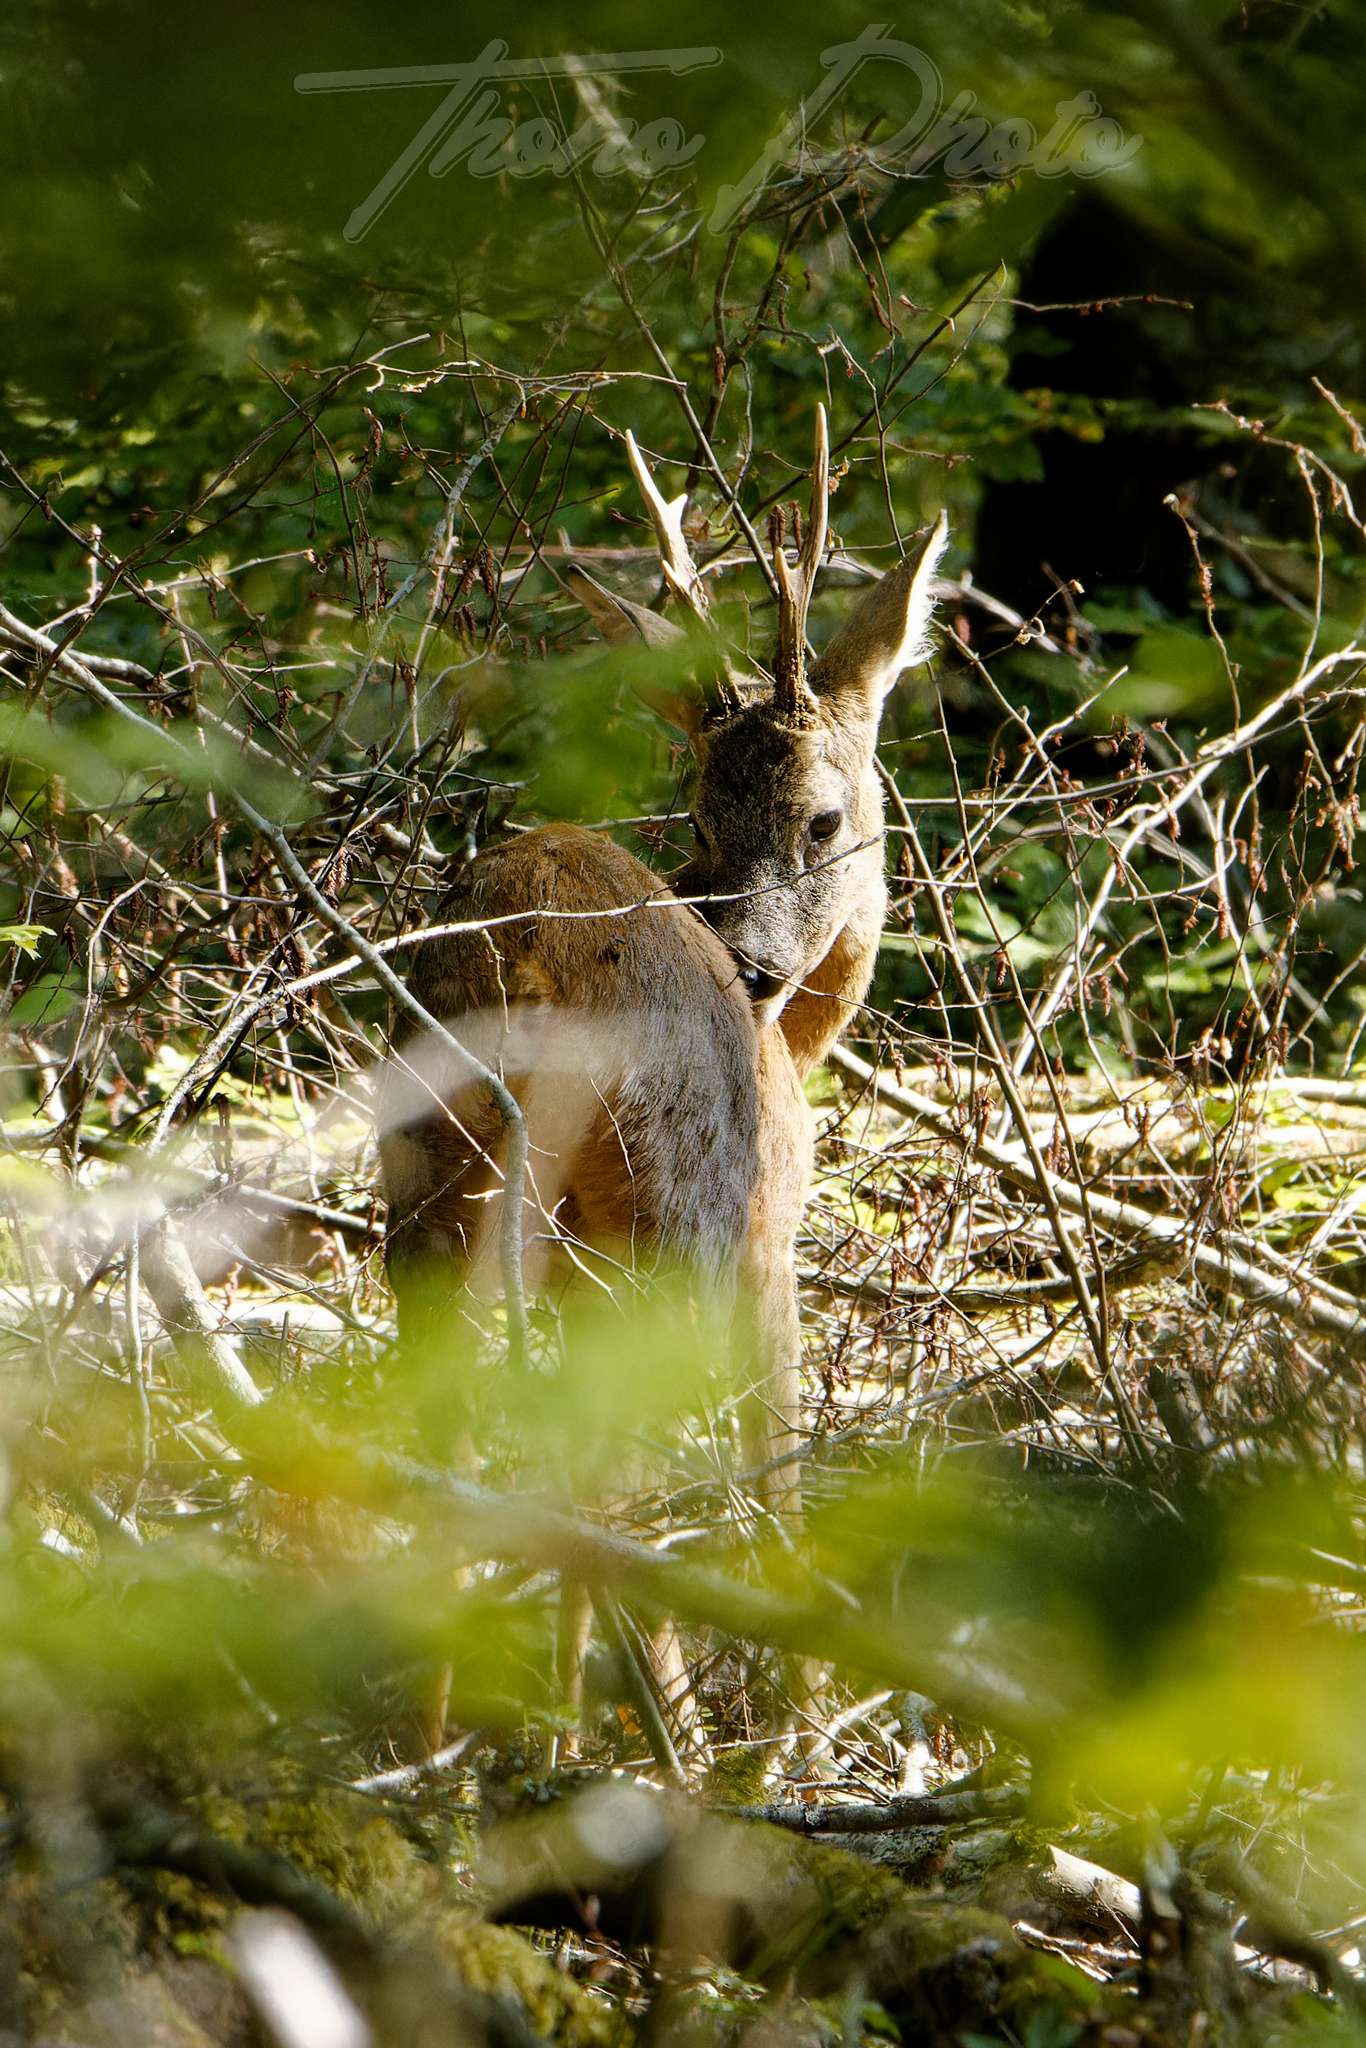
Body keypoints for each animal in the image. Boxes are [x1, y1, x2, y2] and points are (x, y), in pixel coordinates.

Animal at [378, 415, 946, 1744]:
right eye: (701, 813)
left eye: (816, 820)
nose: (755, 964)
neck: (801, 1042)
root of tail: (524, 941)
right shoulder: (771, 1231)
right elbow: (779, 1463)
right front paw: (801, 1717)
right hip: (669, 1191)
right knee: (624, 1465)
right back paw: (676, 1740)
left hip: (442, 1156)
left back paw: (449, 1740)